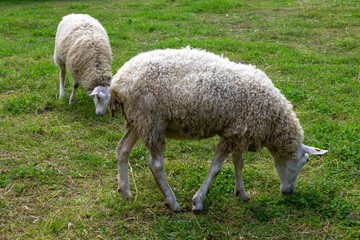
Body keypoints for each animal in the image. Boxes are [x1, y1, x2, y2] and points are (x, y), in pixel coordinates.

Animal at [108, 47, 328, 212]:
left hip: (138, 120)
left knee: (122, 149)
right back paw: (172, 202)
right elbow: (216, 168)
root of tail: (117, 82)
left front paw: (242, 193)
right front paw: (198, 202)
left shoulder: (238, 132)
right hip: (151, 119)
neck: (272, 120)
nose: (289, 192)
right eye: (305, 161)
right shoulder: (234, 133)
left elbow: (239, 163)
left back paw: (125, 191)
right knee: (155, 164)